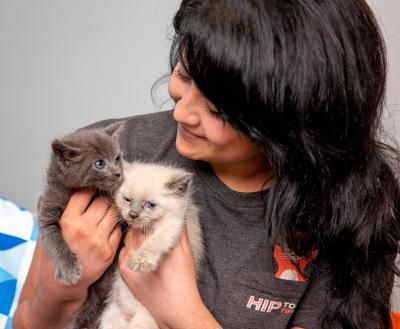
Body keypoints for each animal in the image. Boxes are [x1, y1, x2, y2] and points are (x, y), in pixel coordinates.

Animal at [39, 125, 123, 284]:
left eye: (117, 159)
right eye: (100, 163)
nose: (118, 173)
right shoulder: (48, 212)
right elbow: (54, 238)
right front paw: (69, 269)